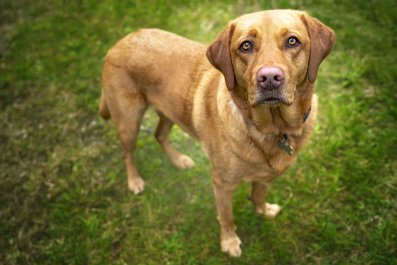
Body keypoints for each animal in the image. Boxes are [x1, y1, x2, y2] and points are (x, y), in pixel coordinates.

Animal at [99, 9, 334, 255]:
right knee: (127, 152)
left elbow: (258, 196)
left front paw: (264, 210)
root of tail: (121, 41)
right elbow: (226, 216)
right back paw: (134, 181)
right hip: (129, 121)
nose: (269, 78)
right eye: (246, 45)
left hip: (170, 111)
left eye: (292, 41)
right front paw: (229, 242)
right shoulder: (222, 184)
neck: (273, 129)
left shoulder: (266, 176)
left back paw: (179, 160)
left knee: (159, 134)